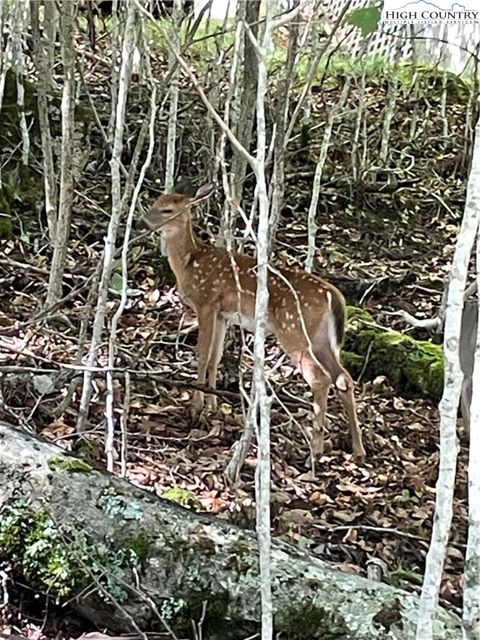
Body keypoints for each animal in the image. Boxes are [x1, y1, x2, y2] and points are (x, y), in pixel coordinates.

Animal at [144, 182, 366, 462]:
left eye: (168, 210)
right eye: (155, 203)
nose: (143, 220)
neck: (188, 262)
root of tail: (333, 296)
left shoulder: (206, 302)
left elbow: (202, 354)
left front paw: (195, 408)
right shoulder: (223, 313)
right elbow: (215, 356)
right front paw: (212, 406)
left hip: (293, 329)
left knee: (320, 378)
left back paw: (314, 451)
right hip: (321, 339)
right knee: (343, 378)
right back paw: (358, 449)